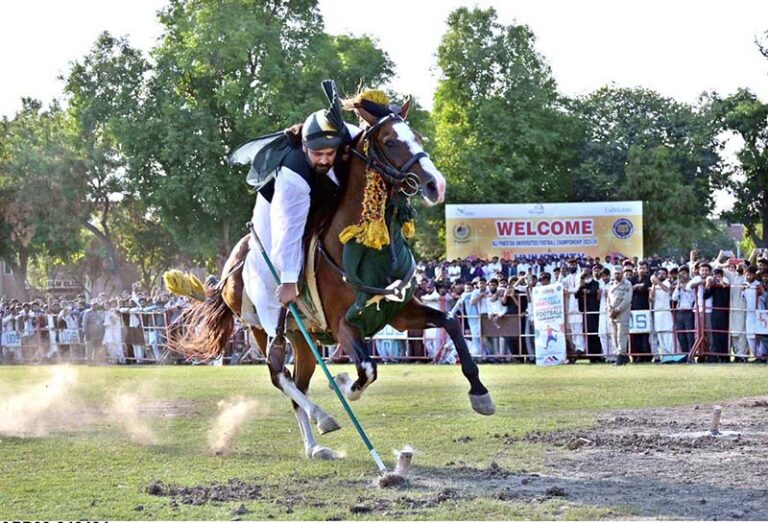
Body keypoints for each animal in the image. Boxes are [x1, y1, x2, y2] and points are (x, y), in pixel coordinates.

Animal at [168, 96, 496, 460]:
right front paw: (343, 383)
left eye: (419, 138)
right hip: (263, 327)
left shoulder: (399, 312)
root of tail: (232, 266)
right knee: (279, 374)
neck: (362, 248)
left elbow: (451, 323)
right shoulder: (344, 326)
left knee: (297, 382)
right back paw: (322, 416)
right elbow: (367, 370)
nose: (435, 185)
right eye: (389, 141)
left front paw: (480, 393)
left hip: (302, 339)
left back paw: (315, 446)